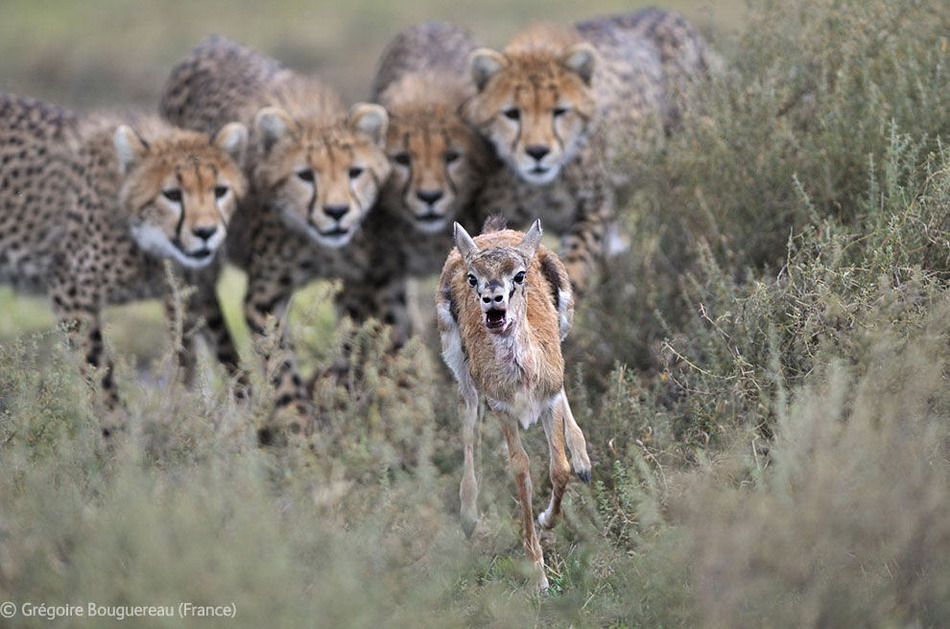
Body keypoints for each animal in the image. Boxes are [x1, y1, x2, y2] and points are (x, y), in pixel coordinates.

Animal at [0, 93, 249, 434]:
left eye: (220, 191)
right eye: (172, 194)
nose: (206, 233)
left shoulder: (195, 292)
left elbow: (223, 357)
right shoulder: (70, 292)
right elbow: (99, 375)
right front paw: (116, 437)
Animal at [160, 35, 390, 436]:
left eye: (355, 172)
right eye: (305, 175)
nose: (336, 212)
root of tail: (211, 42)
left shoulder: (358, 283)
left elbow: (353, 344)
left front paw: (344, 395)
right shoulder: (264, 298)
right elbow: (280, 364)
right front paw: (298, 428)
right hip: (193, 264)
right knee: (197, 332)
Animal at [462, 7, 720, 292]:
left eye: (560, 111)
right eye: (511, 113)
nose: (538, 152)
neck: (540, 186)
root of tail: (663, 11)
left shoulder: (595, 206)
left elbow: (576, 259)